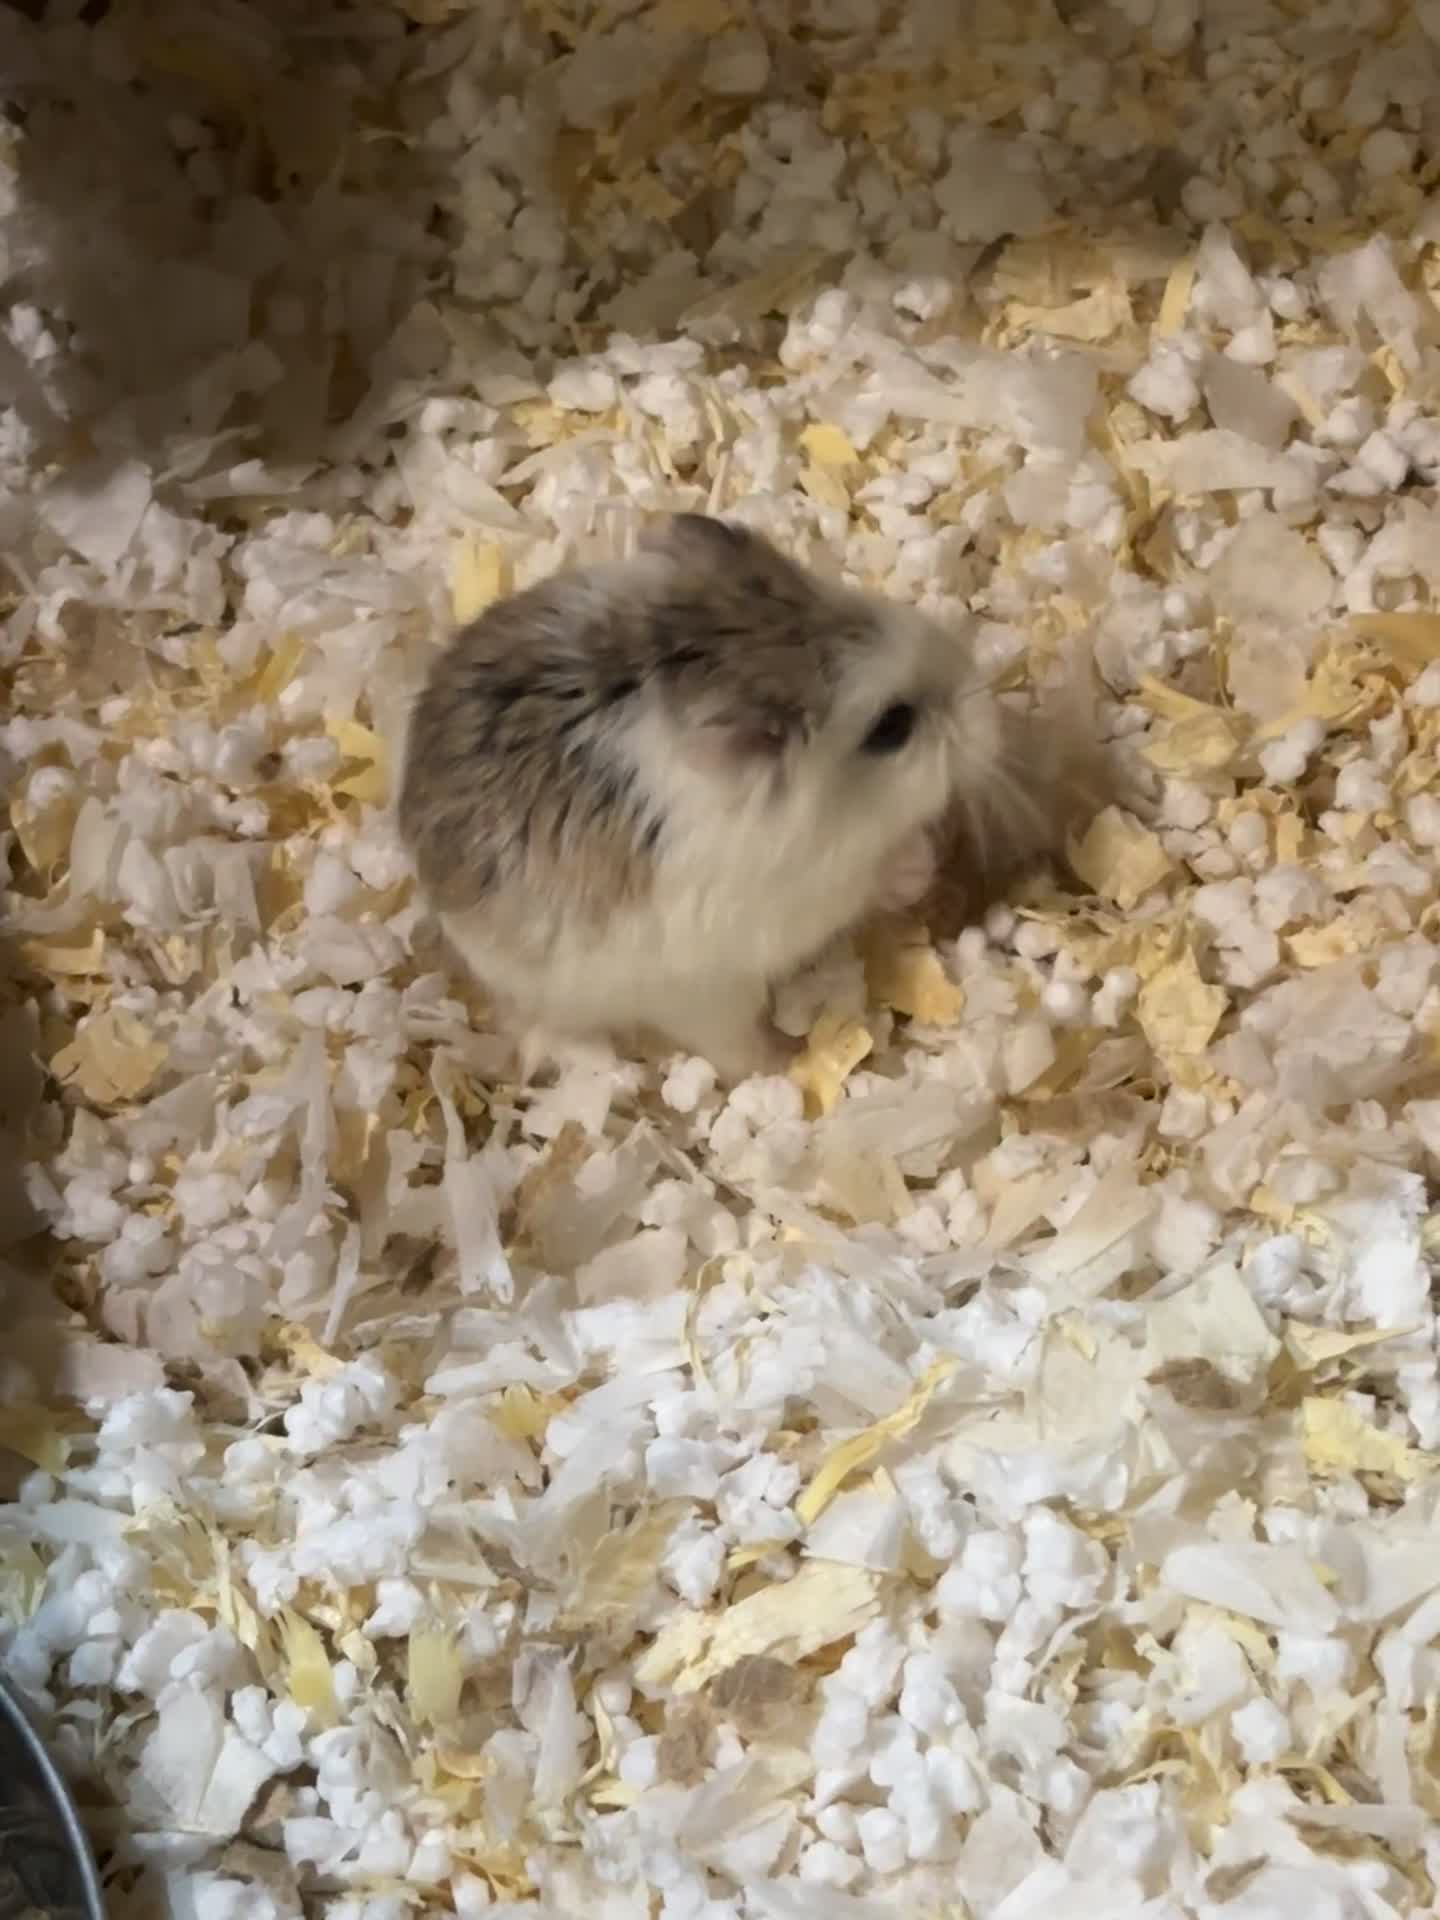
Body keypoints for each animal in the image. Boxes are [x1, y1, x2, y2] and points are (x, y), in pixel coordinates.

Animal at [398, 512, 1011, 1081]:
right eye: (892, 726)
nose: (988, 715)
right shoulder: (791, 898)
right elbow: (868, 882)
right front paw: (918, 864)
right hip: (693, 997)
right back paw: (777, 1061)